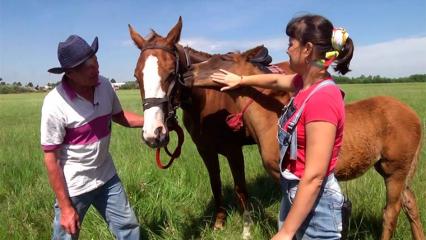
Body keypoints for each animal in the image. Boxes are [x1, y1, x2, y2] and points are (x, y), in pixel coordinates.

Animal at [188, 46, 424, 239]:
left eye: (225, 57)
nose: (188, 72)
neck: (270, 120)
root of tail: (414, 115)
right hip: (393, 170)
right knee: (410, 203)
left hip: (395, 171)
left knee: (391, 211)